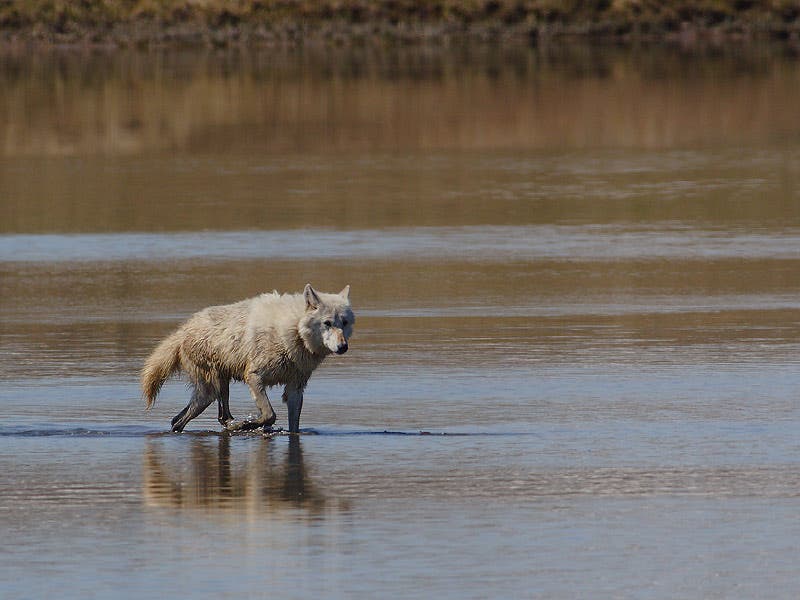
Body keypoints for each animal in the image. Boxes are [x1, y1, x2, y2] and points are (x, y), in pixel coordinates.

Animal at [141, 284, 354, 434]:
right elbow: (270, 415)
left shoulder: (295, 389)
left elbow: (294, 427)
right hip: (211, 390)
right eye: (327, 323)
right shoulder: (253, 376)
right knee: (192, 420)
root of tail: (183, 330)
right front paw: (249, 424)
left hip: (217, 388)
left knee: (200, 418)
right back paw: (236, 426)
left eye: (344, 322)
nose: (343, 347)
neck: (292, 331)